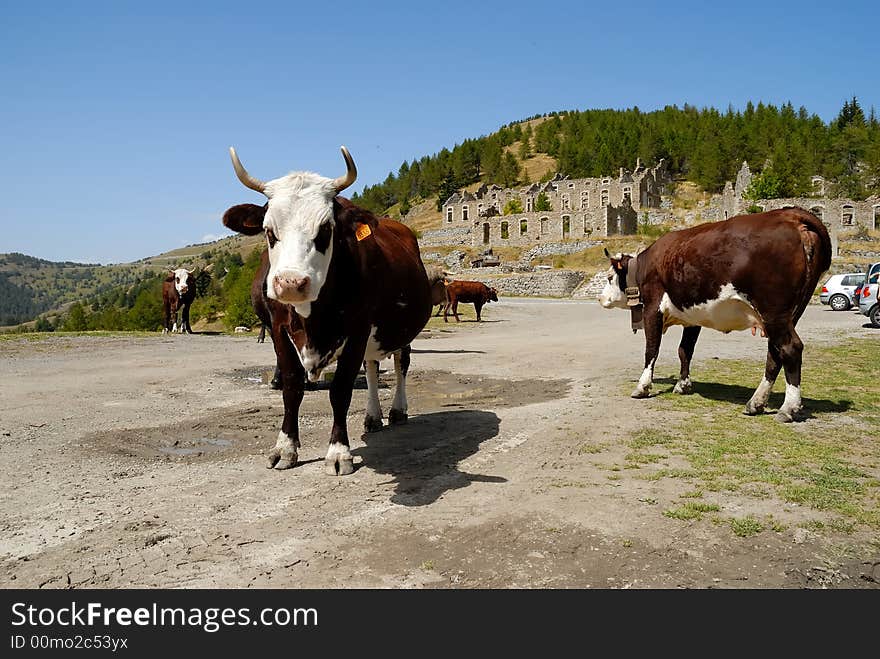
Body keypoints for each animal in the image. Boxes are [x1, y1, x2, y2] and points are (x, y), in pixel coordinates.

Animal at [222, 144, 432, 474]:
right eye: (269, 231)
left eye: (325, 229)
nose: (290, 283)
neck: (312, 321)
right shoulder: (279, 329)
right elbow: (292, 387)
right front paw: (285, 448)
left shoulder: (357, 329)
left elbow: (341, 389)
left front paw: (338, 451)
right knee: (372, 368)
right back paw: (373, 416)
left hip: (401, 330)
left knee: (400, 365)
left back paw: (397, 410)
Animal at [600, 208, 832, 422]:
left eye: (610, 277)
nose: (600, 297)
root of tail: (791, 215)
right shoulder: (692, 317)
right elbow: (685, 350)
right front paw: (683, 385)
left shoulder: (652, 308)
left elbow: (651, 350)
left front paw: (643, 386)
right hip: (787, 314)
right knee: (774, 354)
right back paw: (756, 403)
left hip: (774, 311)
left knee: (790, 349)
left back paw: (788, 407)